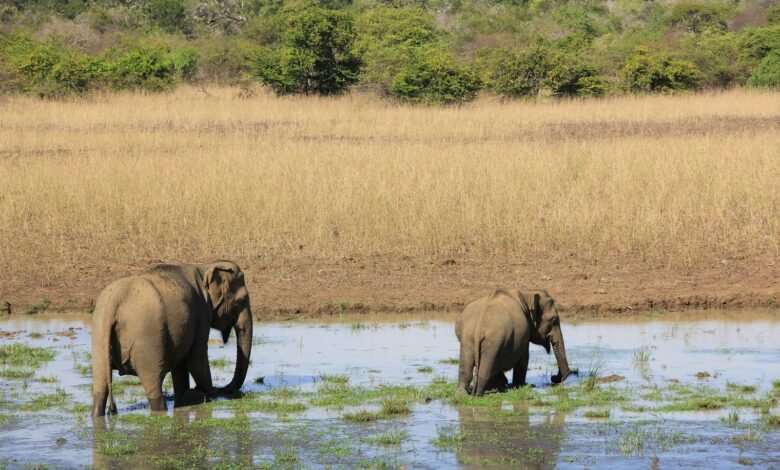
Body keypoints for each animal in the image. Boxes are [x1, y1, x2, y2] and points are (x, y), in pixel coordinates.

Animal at [90, 258, 253, 416]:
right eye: (241, 301)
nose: (220, 389)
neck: (205, 266)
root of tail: (113, 304)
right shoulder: (201, 312)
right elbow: (197, 361)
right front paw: (204, 394)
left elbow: (181, 366)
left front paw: (185, 400)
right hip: (146, 341)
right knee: (154, 387)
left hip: (99, 334)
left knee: (100, 388)